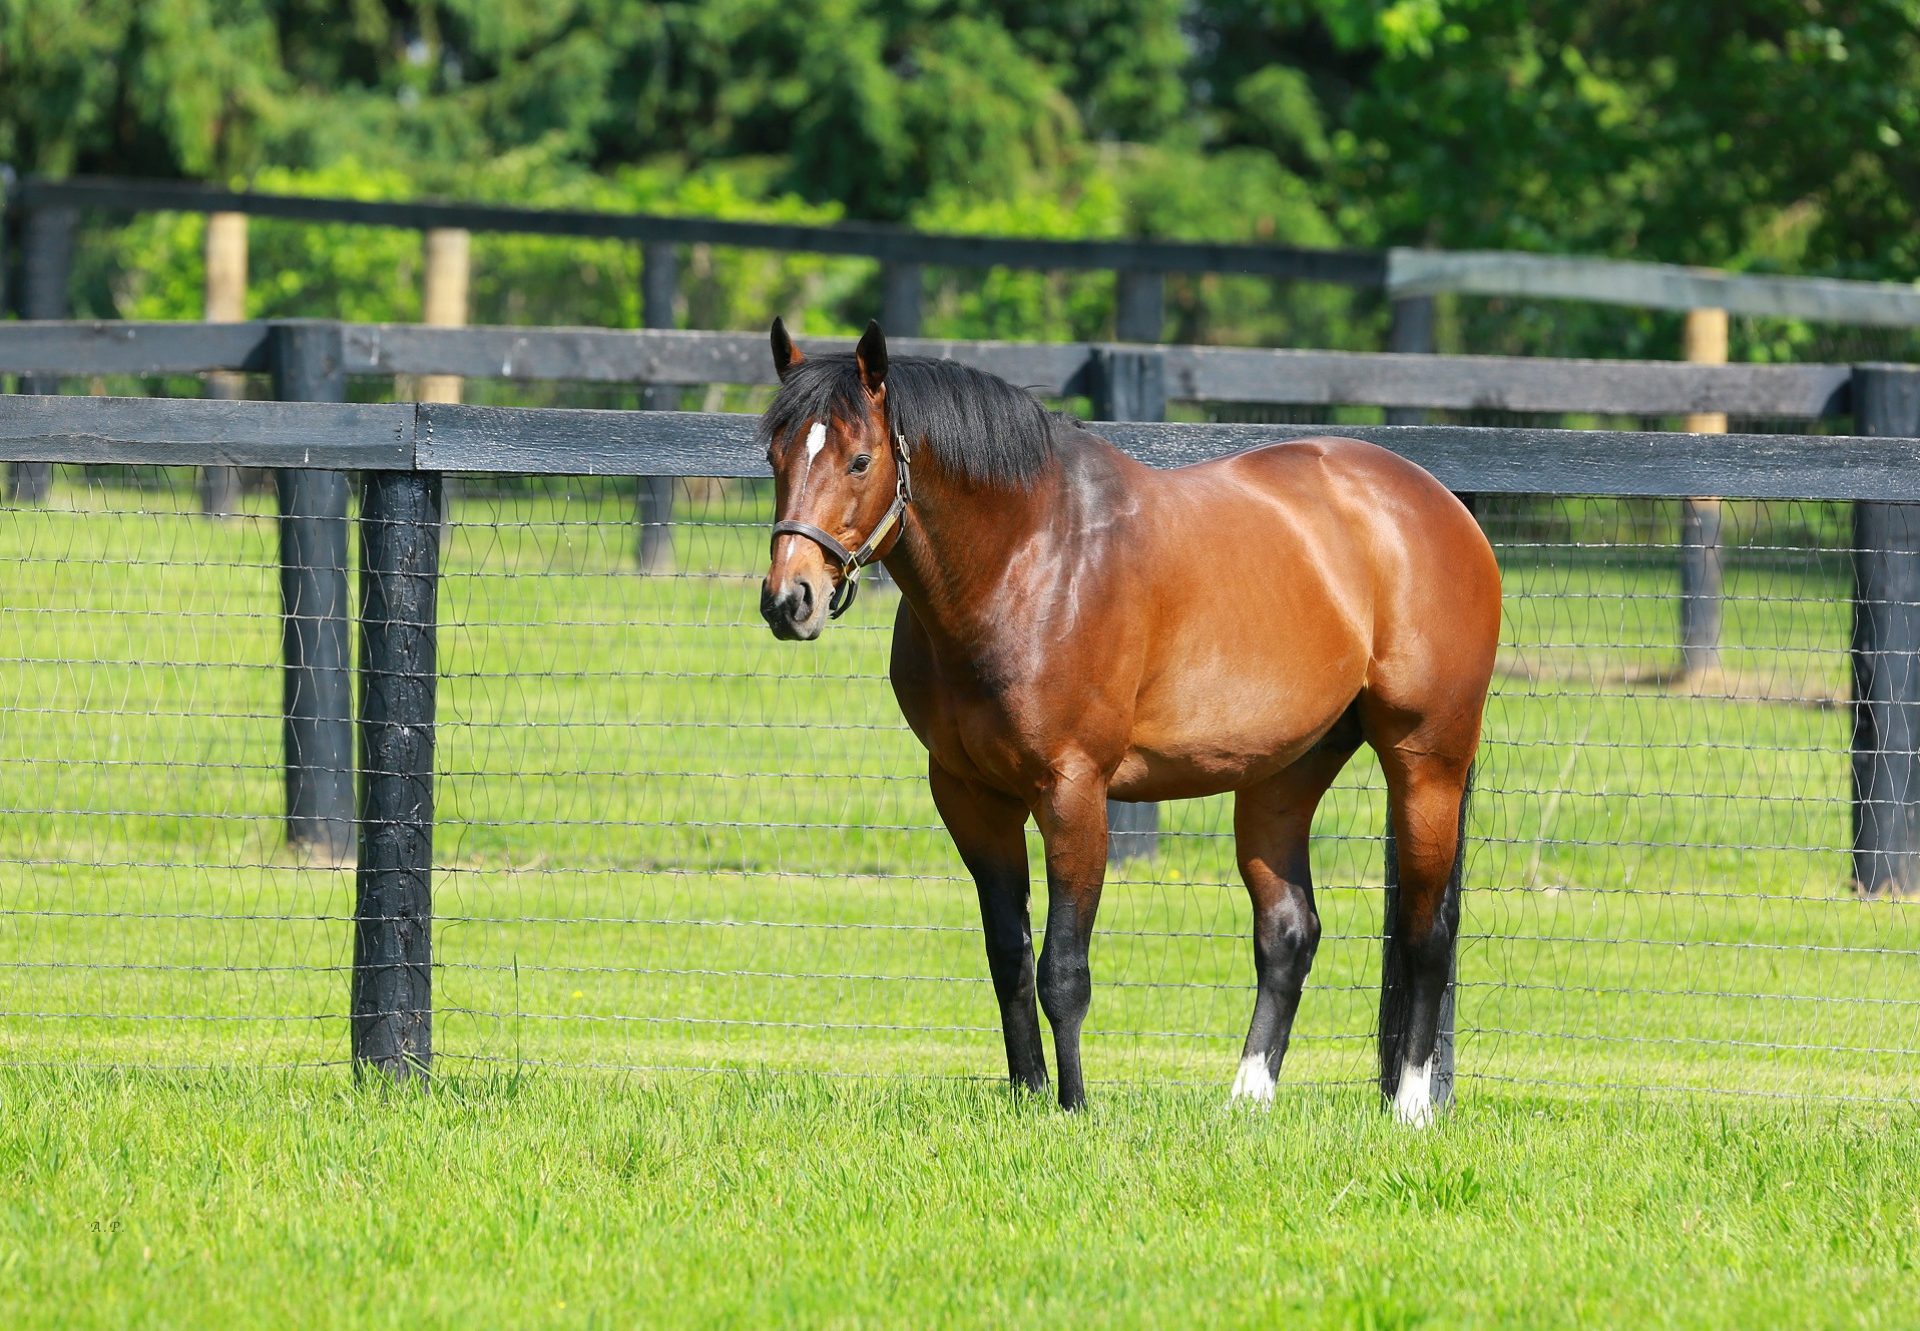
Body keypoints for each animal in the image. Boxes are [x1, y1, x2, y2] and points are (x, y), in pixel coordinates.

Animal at [752, 322, 1497, 1121]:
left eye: (860, 459)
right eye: (774, 456)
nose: (790, 599)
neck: (1029, 559)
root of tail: (1441, 504)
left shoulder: (1073, 790)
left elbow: (1063, 969)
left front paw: (1074, 1106)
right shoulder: (969, 795)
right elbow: (1009, 955)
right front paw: (1028, 1095)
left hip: (1427, 761)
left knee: (1427, 931)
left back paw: (1412, 1105)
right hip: (1284, 775)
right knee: (1289, 931)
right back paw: (1247, 1099)